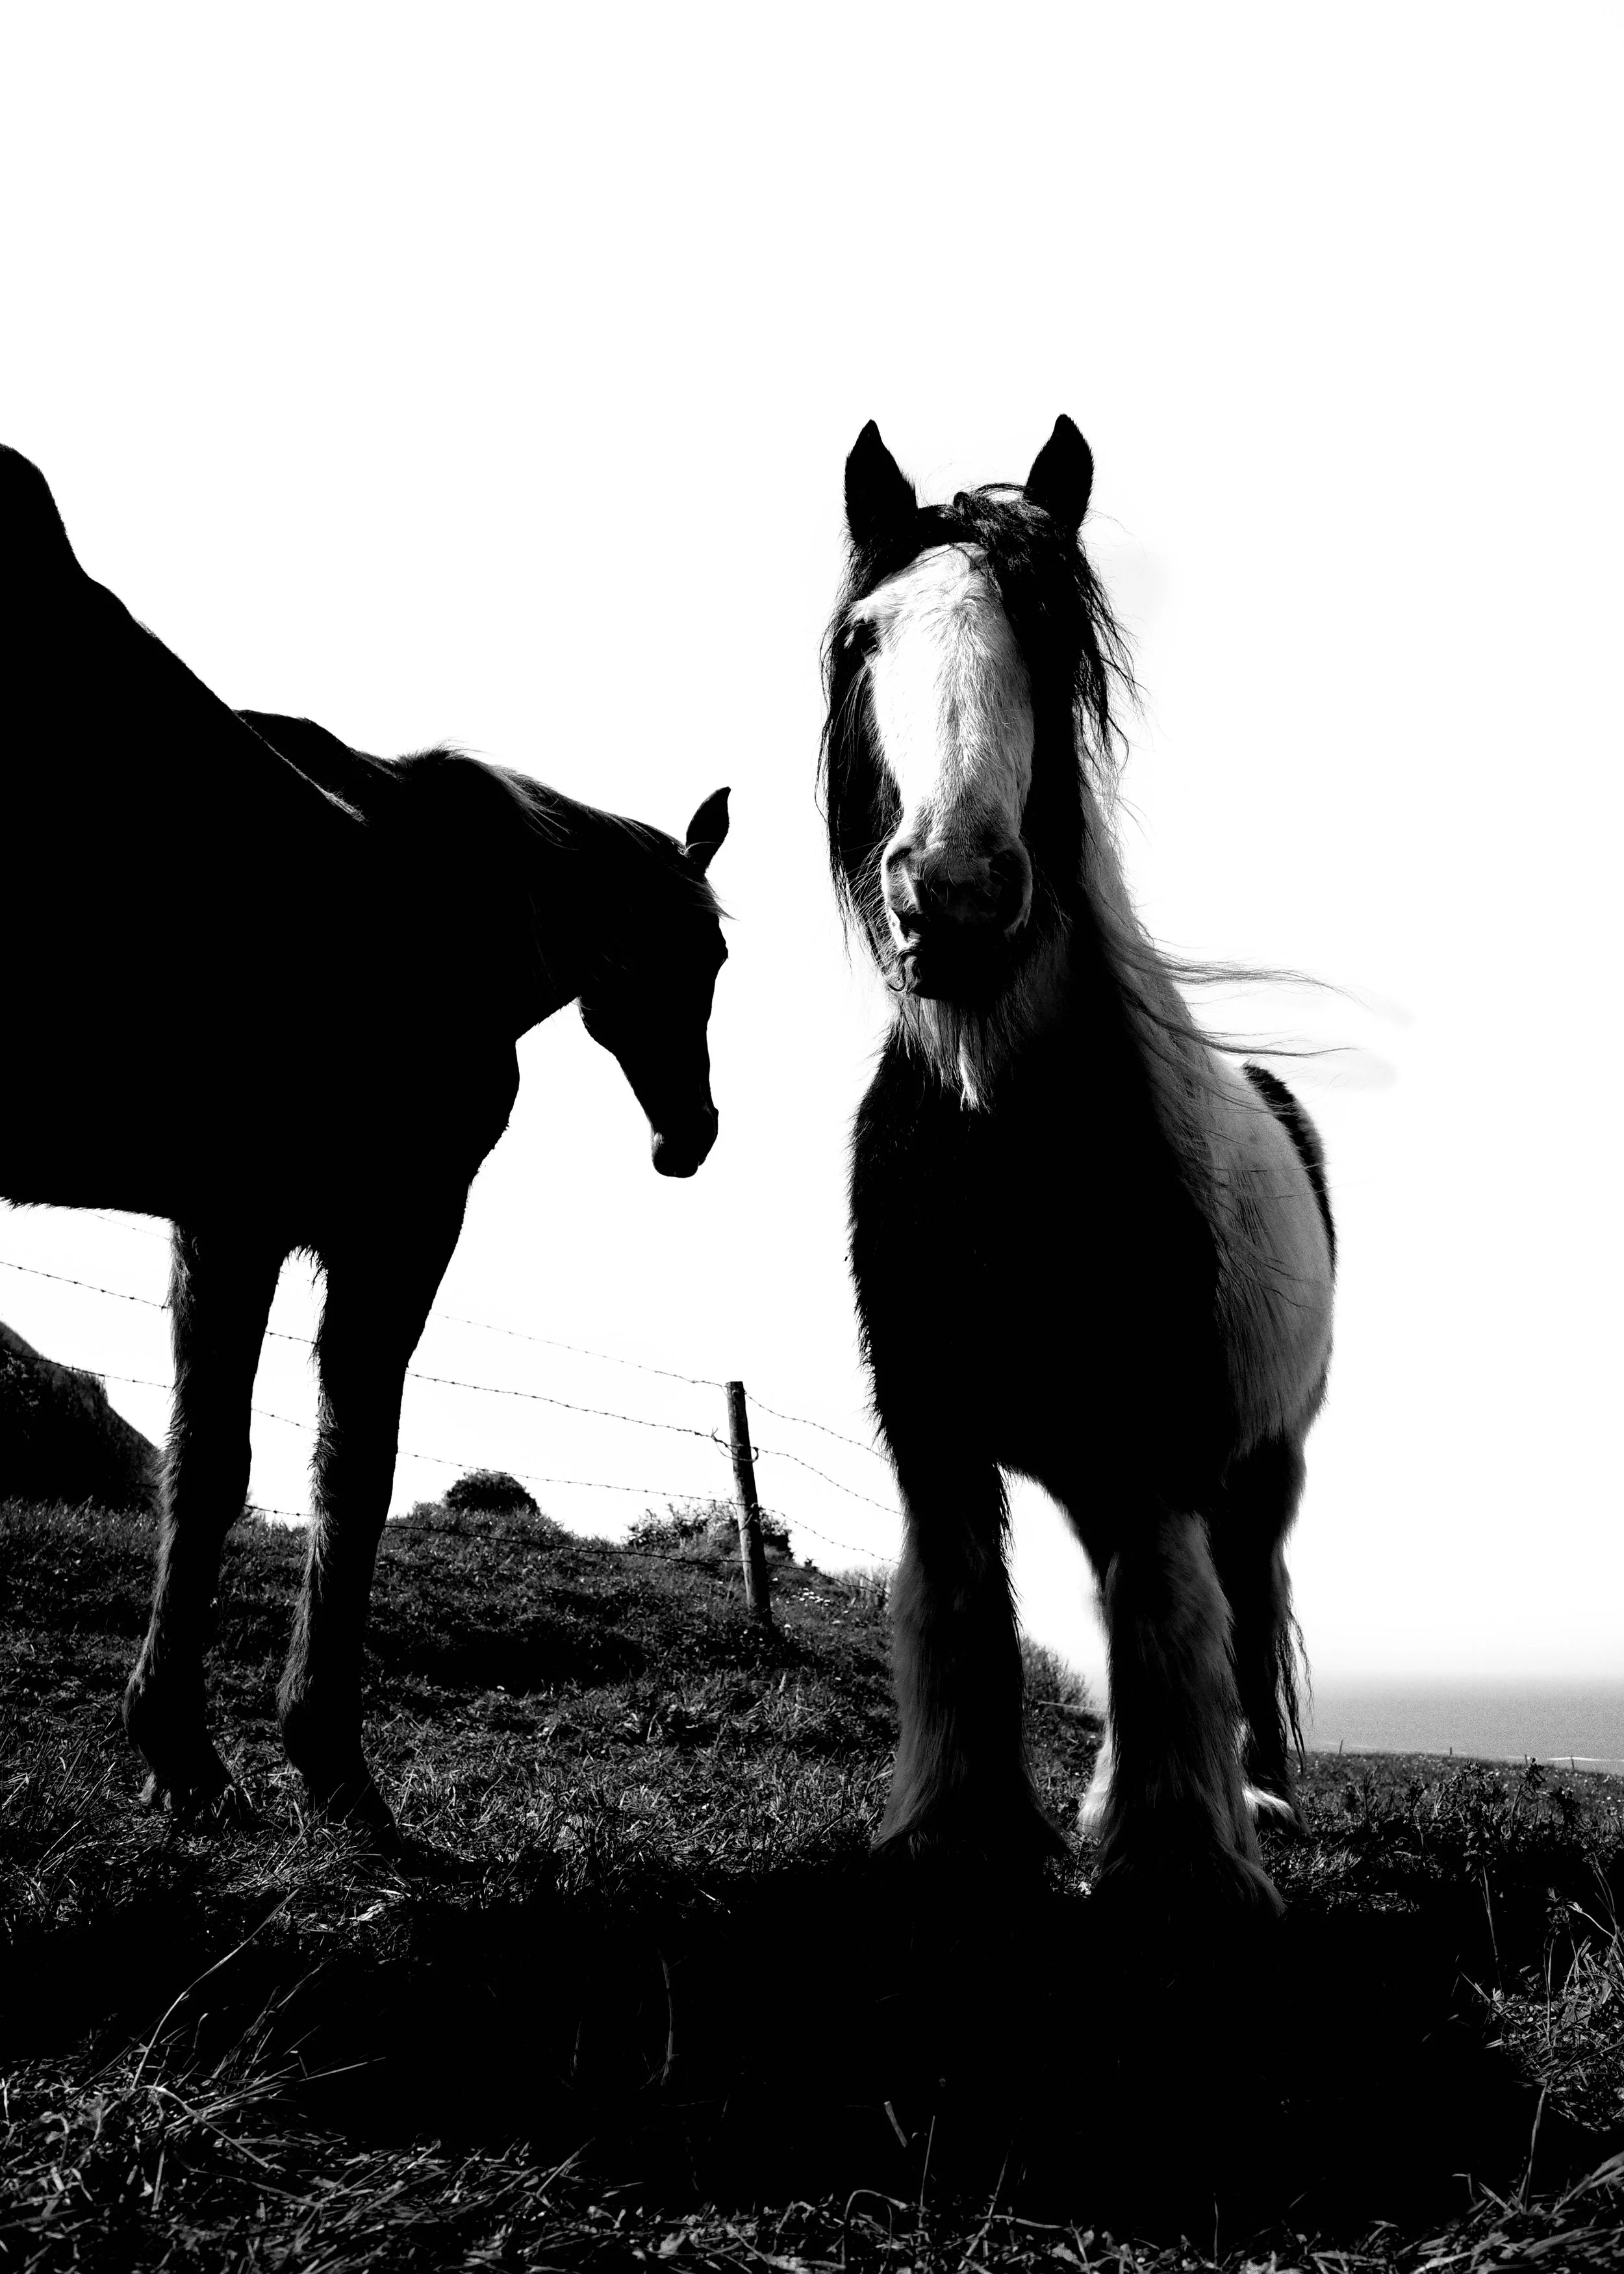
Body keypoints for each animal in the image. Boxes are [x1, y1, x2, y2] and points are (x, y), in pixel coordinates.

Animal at [0, 445, 730, 1843]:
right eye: (705, 952)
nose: (693, 1134)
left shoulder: (224, 1224)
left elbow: (207, 1469)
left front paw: (181, 1750)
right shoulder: (391, 1227)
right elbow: (349, 1469)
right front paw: (317, 1760)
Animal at [821, 418, 1335, 1910]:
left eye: (1047, 636)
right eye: (864, 637)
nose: (955, 898)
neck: (999, 1125)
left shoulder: (1152, 1420)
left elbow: (1166, 1609)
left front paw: (1178, 1852)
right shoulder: (930, 1415)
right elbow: (955, 1601)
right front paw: (955, 1828)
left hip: (1264, 1457)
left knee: (1234, 1587)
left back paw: (1251, 1789)